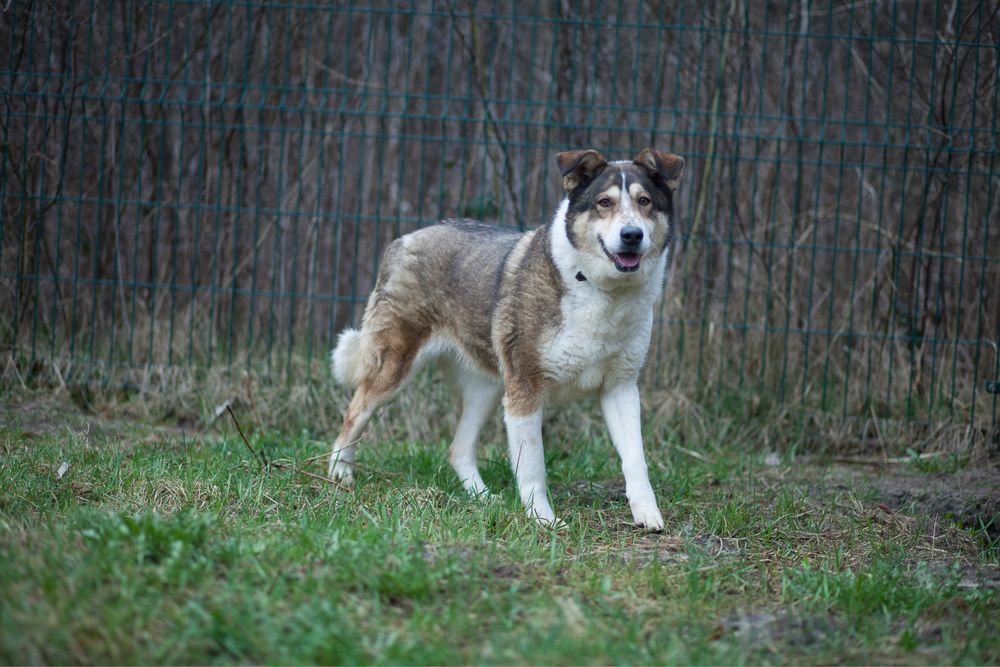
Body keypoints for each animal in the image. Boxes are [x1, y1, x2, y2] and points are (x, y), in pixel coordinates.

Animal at [328, 149, 688, 528]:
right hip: (394, 370)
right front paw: (543, 520)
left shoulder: (621, 388)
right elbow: (532, 466)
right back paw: (338, 474)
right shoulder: (525, 390)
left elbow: (636, 459)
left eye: (645, 202)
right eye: (605, 202)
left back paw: (483, 498)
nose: (632, 235)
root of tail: (405, 238)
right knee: (353, 414)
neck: (600, 290)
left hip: (487, 388)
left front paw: (647, 513)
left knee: (458, 449)